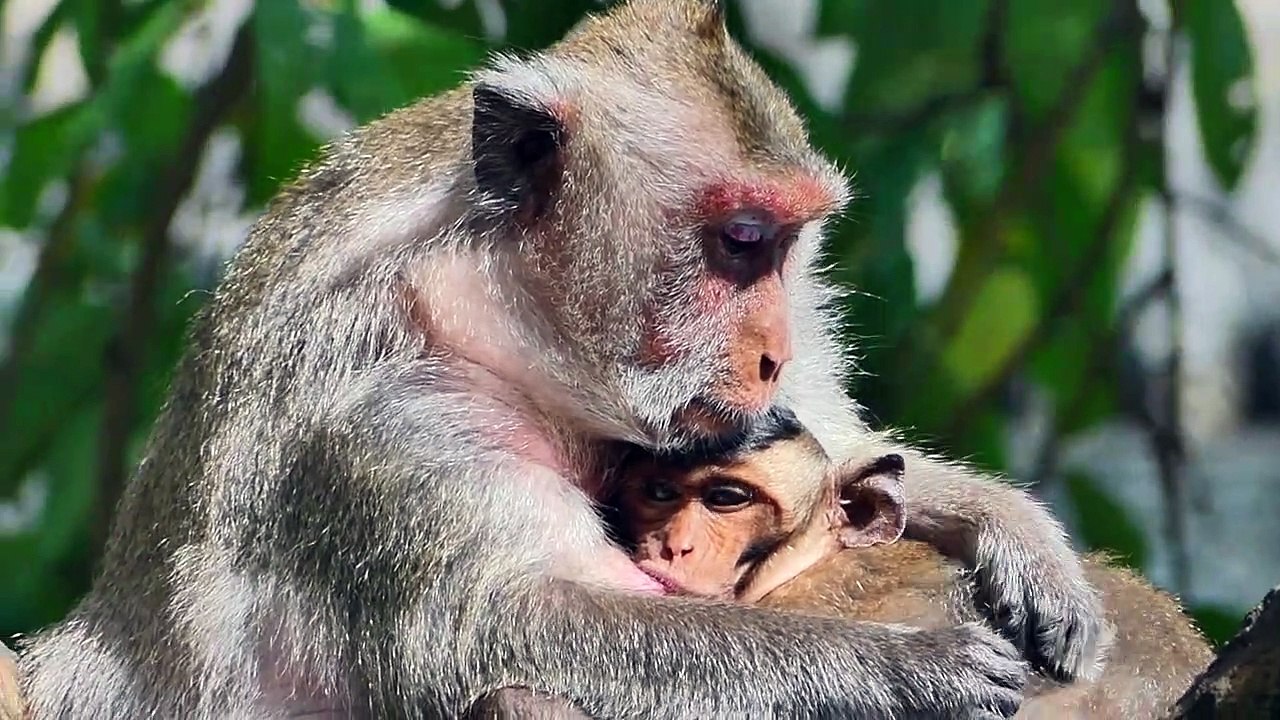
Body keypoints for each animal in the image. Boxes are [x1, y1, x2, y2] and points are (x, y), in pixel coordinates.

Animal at [17, 1, 1105, 718]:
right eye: (741, 242)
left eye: (786, 248)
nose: (773, 353)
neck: (491, 313)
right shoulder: (388, 435)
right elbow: (494, 632)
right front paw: (892, 665)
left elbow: (836, 447)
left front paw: (1013, 530)